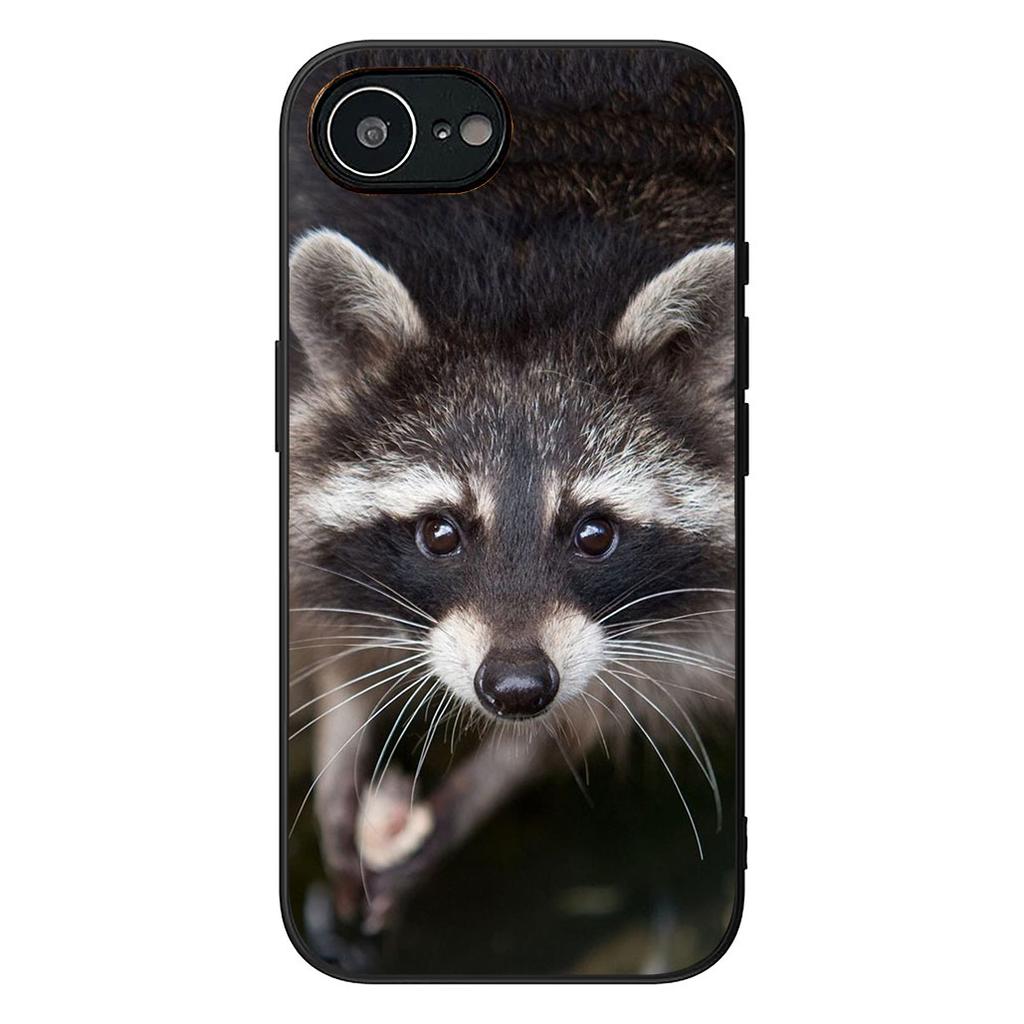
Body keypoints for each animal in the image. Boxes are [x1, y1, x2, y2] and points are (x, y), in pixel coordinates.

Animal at [285, 47, 738, 933]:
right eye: (441, 533)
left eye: (594, 533)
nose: (519, 690)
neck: (524, 274)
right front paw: (342, 722)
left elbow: (650, 681)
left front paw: (500, 770)